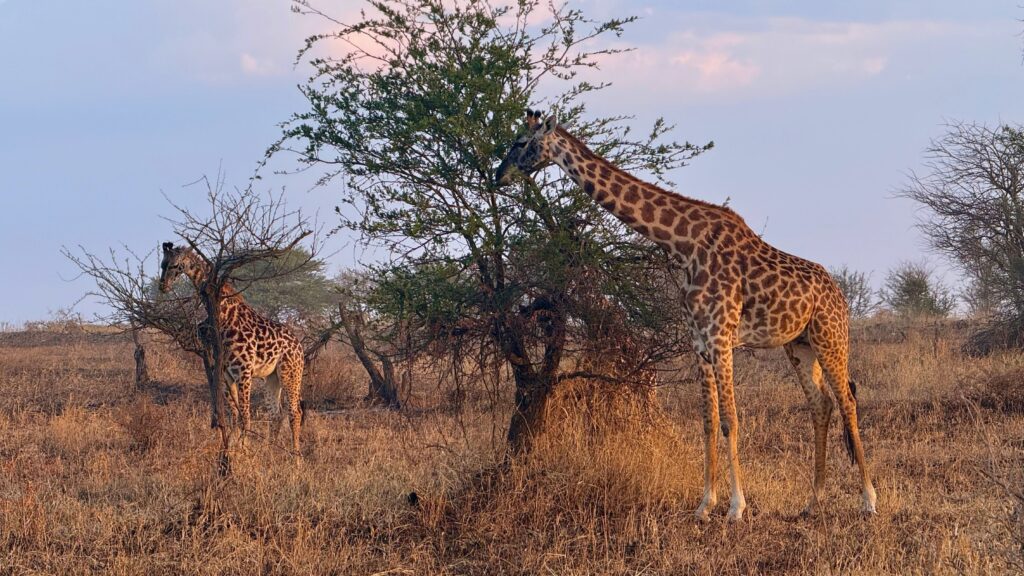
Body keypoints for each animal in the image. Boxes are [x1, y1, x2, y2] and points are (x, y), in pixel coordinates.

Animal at [158, 242, 305, 453]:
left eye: (175, 265)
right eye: (162, 264)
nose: (163, 286)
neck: (225, 315)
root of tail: (300, 347)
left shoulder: (243, 372)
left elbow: (245, 416)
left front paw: (242, 450)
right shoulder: (227, 373)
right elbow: (235, 416)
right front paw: (233, 448)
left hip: (290, 372)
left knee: (295, 412)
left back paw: (296, 455)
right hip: (272, 377)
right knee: (276, 413)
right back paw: (270, 450)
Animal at [496, 111, 876, 521]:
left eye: (520, 142)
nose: (499, 175)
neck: (684, 244)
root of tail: (840, 294)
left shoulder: (721, 336)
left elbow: (730, 420)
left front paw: (736, 507)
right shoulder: (700, 342)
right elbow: (708, 421)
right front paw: (704, 505)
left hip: (830, 338)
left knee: (847, 402)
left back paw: (869, 500)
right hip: (799, 345)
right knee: (820, 405)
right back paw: (812, 501)